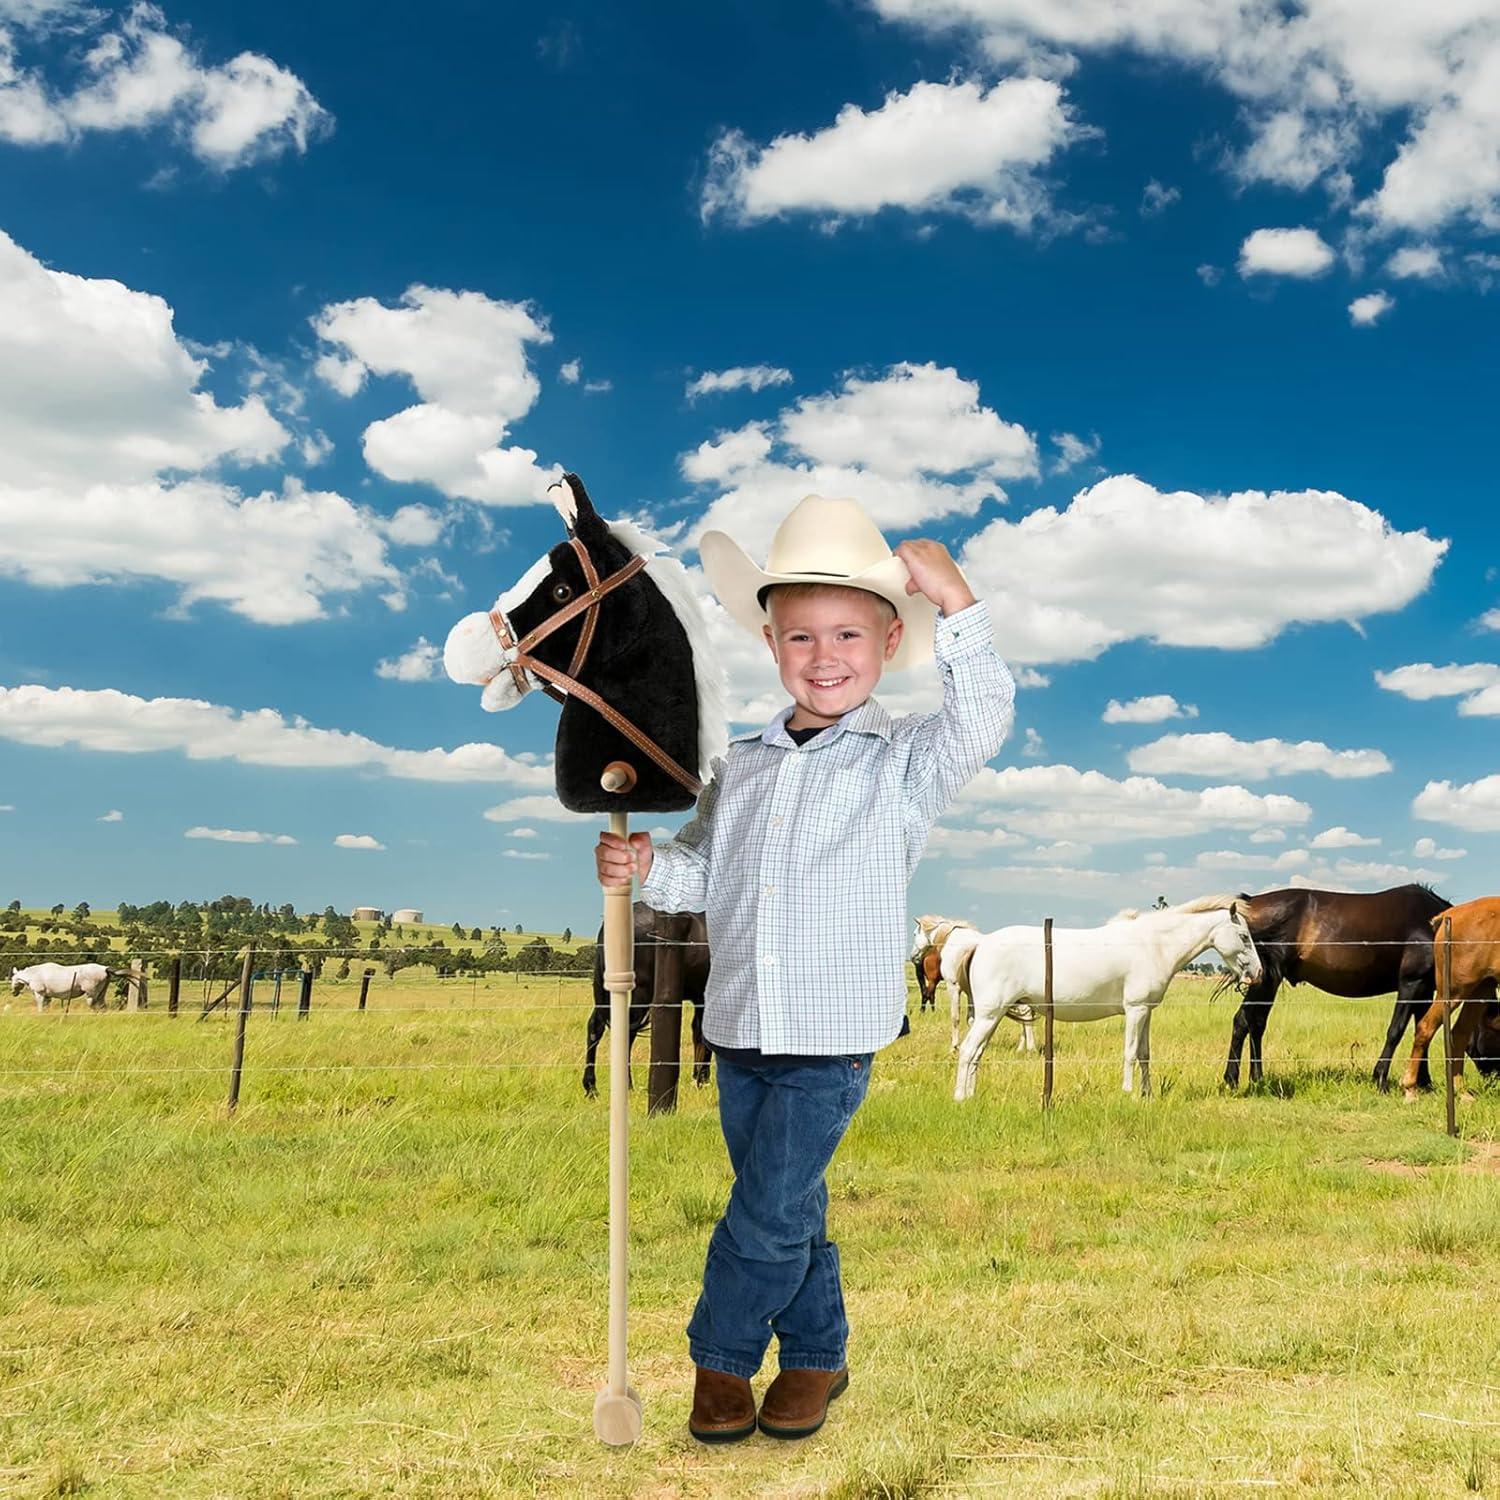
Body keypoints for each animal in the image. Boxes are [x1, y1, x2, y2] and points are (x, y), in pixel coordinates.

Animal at [582, 894, 711, 1098]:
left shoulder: (700, 999)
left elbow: (698, 1034)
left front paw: (699, 1078)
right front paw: (702, 1080)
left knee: (595, 1027)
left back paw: (591, 1087)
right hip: (641, 991)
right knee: (627, 1030)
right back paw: (627, 1085)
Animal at [954, 888, 1260, 1104]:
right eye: (1244, 936)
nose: (1257, 972)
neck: (1152, 944)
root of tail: (981, 944)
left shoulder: (1147, 1011)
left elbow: (1144, 1054)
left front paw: (1147, 1095)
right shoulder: (1135, 1009)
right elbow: (1130, 1052)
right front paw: (1128, 1093)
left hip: (992, 1017)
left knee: (977, 1053)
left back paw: (970, 1096)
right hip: (990, 1014)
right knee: (968, 1050)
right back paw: (960, 1098)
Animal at [1218, 876, 1452, 1092]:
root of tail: (1249, 903)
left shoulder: (1424, 988)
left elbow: (1423, 1031)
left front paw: (1423, 1083)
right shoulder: (1411, 982)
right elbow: (1397, 1030)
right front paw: (1381, 1080)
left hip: (1267, 981)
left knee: (1254, 1023)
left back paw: (1256, 1079)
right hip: (1265, 980)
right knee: (1245, 1021)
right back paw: (1233, 1079)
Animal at [1392, 894, 1500, 1098]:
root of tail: (1449, 915)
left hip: (1480, 988)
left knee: (1459, 1033)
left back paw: (1461, 1091)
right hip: (1454, 991)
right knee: (1426, 1027)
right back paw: (1410, 1088)